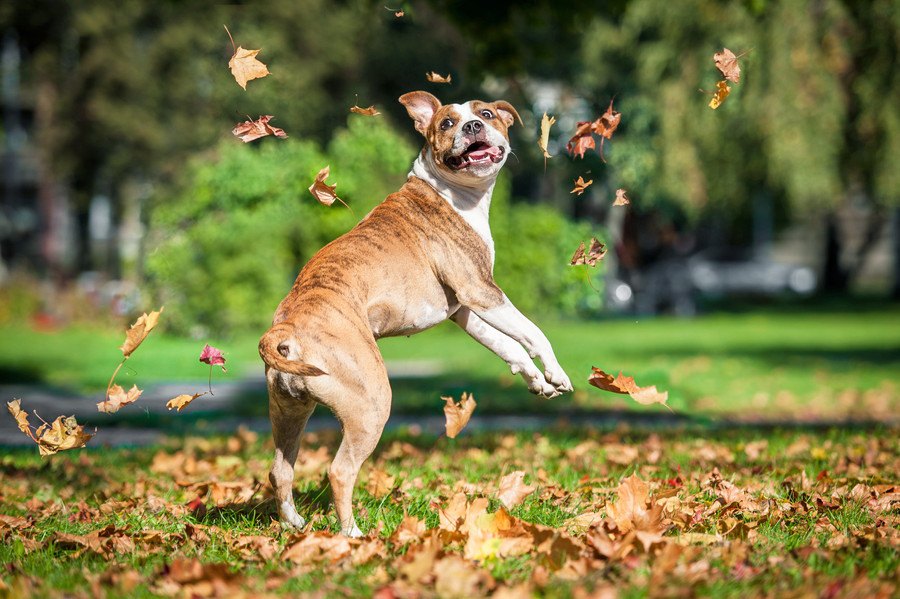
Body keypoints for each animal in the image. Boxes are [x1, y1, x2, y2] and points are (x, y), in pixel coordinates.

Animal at [256, 91, 572, 536]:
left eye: (486, 113)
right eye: (446, 124)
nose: (472, 126)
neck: (453, 193)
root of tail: (287, 329)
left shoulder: (465, 309)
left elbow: (507, 344)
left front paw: (536, 381)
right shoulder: (481, 291)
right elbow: (532, 333)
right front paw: (556, 375)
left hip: (289, 410)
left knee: (280, 470)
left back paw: (294, 525)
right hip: (370, 404)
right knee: (340, 471)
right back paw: (353, 534)